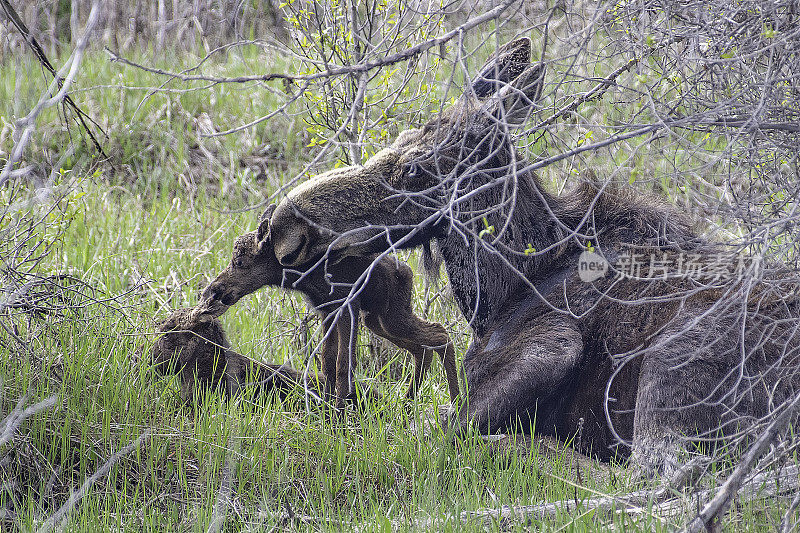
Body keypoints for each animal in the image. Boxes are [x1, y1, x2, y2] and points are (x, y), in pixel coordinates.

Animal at [192, 204, 462, 408]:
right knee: (423, 347)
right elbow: (328, 363)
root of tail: (408, 273)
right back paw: (408, 402)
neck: (302, 275)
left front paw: (340, 414)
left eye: (239, 261)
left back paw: (456, 400)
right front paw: (328, 408)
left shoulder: (346, 305)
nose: (214, 290)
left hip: (392, 315)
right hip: (378, 320)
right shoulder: (326, 309)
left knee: (440, 334)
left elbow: (344, 365)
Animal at [266, 38, 800, 474]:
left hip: (673, 362)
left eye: (415, 168)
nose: (285, 222)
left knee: (655, 476)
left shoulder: (549, 344)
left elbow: (433, 426)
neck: (501, 289)